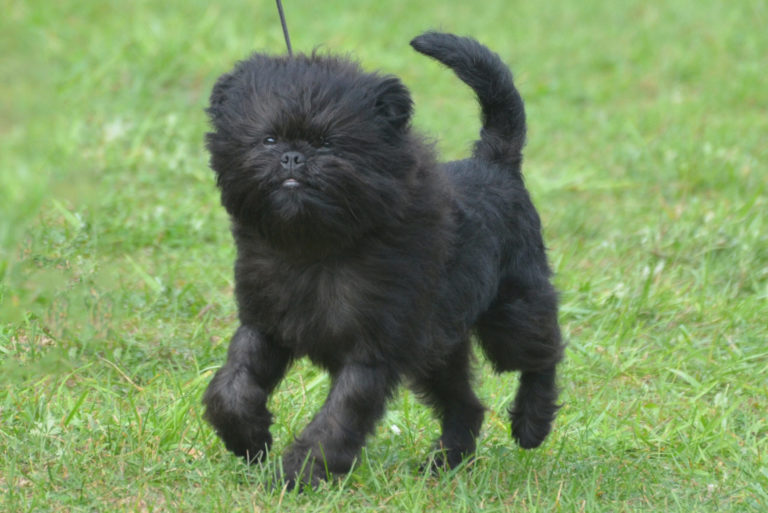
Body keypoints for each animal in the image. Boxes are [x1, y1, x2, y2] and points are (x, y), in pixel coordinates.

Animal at [204, 32, 564, 488]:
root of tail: (496, 162)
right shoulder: (265, 327)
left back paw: (532, 423)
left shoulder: (372, 350)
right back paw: (446, 462)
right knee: (466, 403)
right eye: (268, 140)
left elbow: (338, 416)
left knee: (543, 353)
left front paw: (301, 473)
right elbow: (232, 386)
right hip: (436, 349)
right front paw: (248, 439)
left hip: (511, 310)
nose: (293, 156)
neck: (316, 247)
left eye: (327, 143)